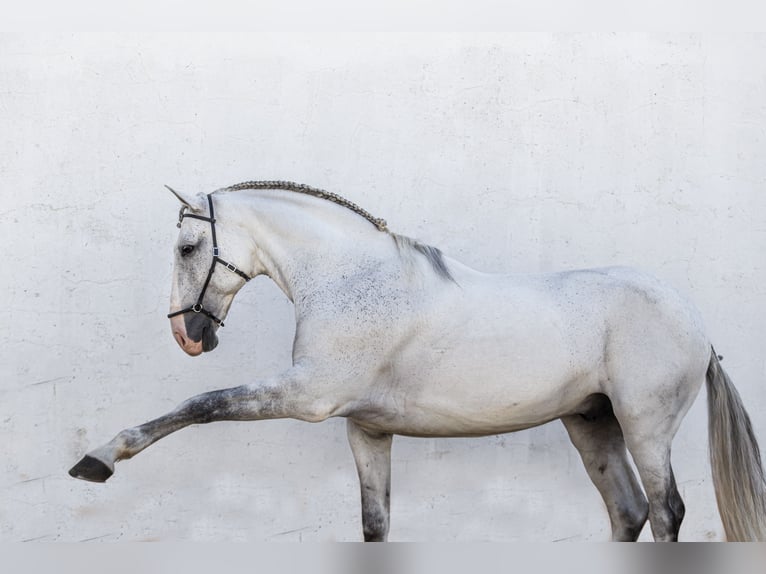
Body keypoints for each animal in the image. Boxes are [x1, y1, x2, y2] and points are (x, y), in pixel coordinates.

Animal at [69, 181, 766, 541]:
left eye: (189, 247)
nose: (188, 336)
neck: (350, 279)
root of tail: (695, 323)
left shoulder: (306, 397)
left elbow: (201, 404)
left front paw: (98, 459)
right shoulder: (366, 429)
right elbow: (375, 523)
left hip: (645, 425)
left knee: (667, 512)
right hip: (591, 423)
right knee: (628, 510)